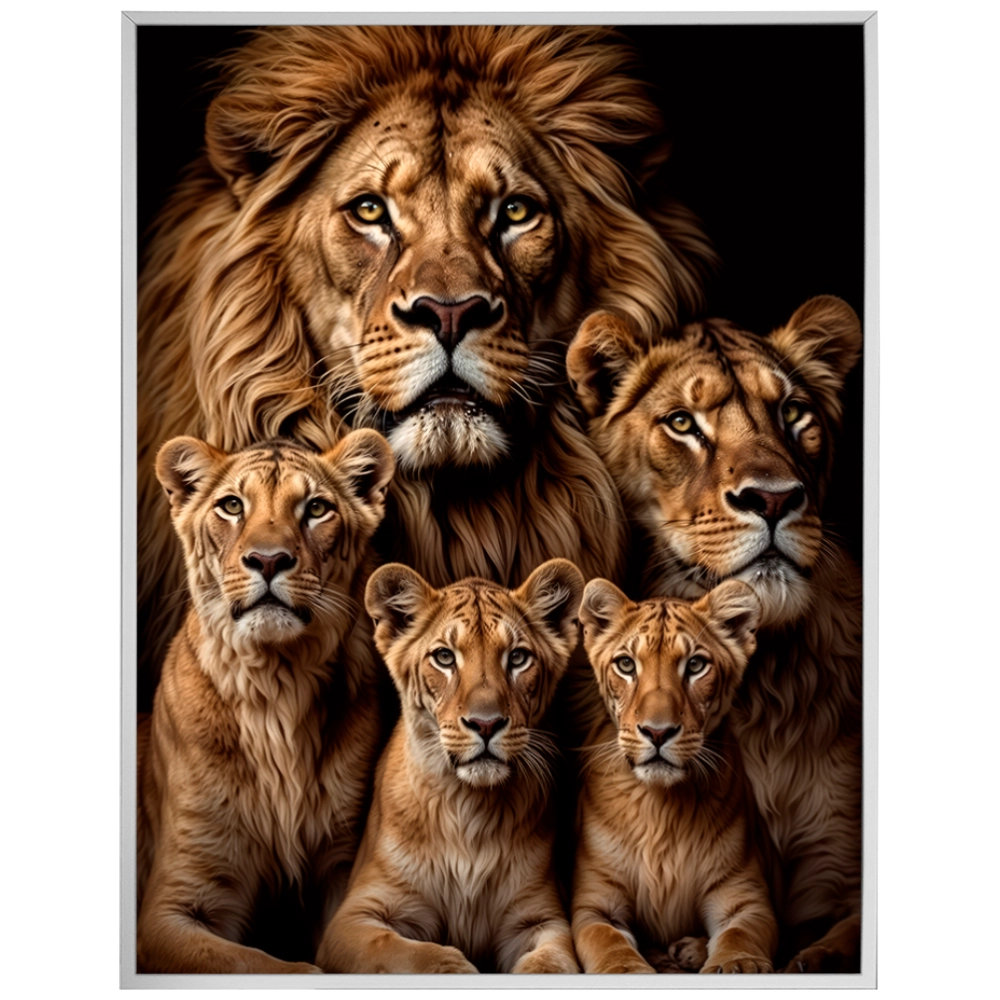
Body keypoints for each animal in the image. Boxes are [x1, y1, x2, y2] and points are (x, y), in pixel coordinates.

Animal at [137, 430, 394, 973]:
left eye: (316, 508)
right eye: (232, 505)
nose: (269, 560)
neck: (278, 686)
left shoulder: (341, 865)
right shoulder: (172, 908)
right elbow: (259, 964)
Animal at [316, 559, 584, 974]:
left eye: (518, 658)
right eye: (444, 658)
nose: (486, 724)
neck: (468, 806)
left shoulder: (539, 917)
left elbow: (551, 964)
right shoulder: (352, 919)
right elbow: (411, 954)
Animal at [574, 578, 778, 974]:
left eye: (696, 665)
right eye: (626, 664)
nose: (657, 732)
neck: (662, 807)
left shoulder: (745, 897)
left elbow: (740, 935)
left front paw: (737, 964)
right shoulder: (595, 902)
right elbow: (607, 941)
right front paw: (627, 969)